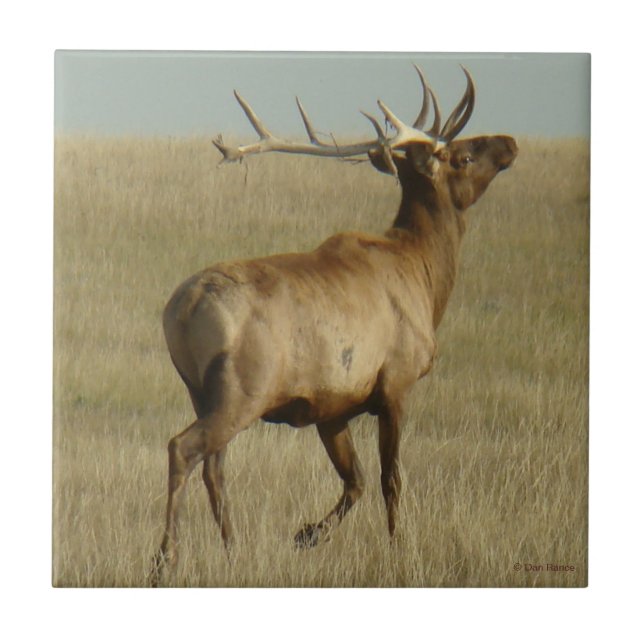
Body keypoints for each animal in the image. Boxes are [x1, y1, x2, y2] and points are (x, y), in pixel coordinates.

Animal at [151, 65, 517, 585]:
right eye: (463, 155)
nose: (510, 142)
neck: (425, 276)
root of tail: (183, 309)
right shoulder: (396, 383)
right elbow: (390, 479)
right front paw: (399, 549)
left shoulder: (331, 407)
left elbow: (355, 481)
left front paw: (306, 534)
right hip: (242, 391)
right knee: (184, 449)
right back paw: (165, 559)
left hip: (200, 391)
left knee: (214, 467)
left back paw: (234, 550)